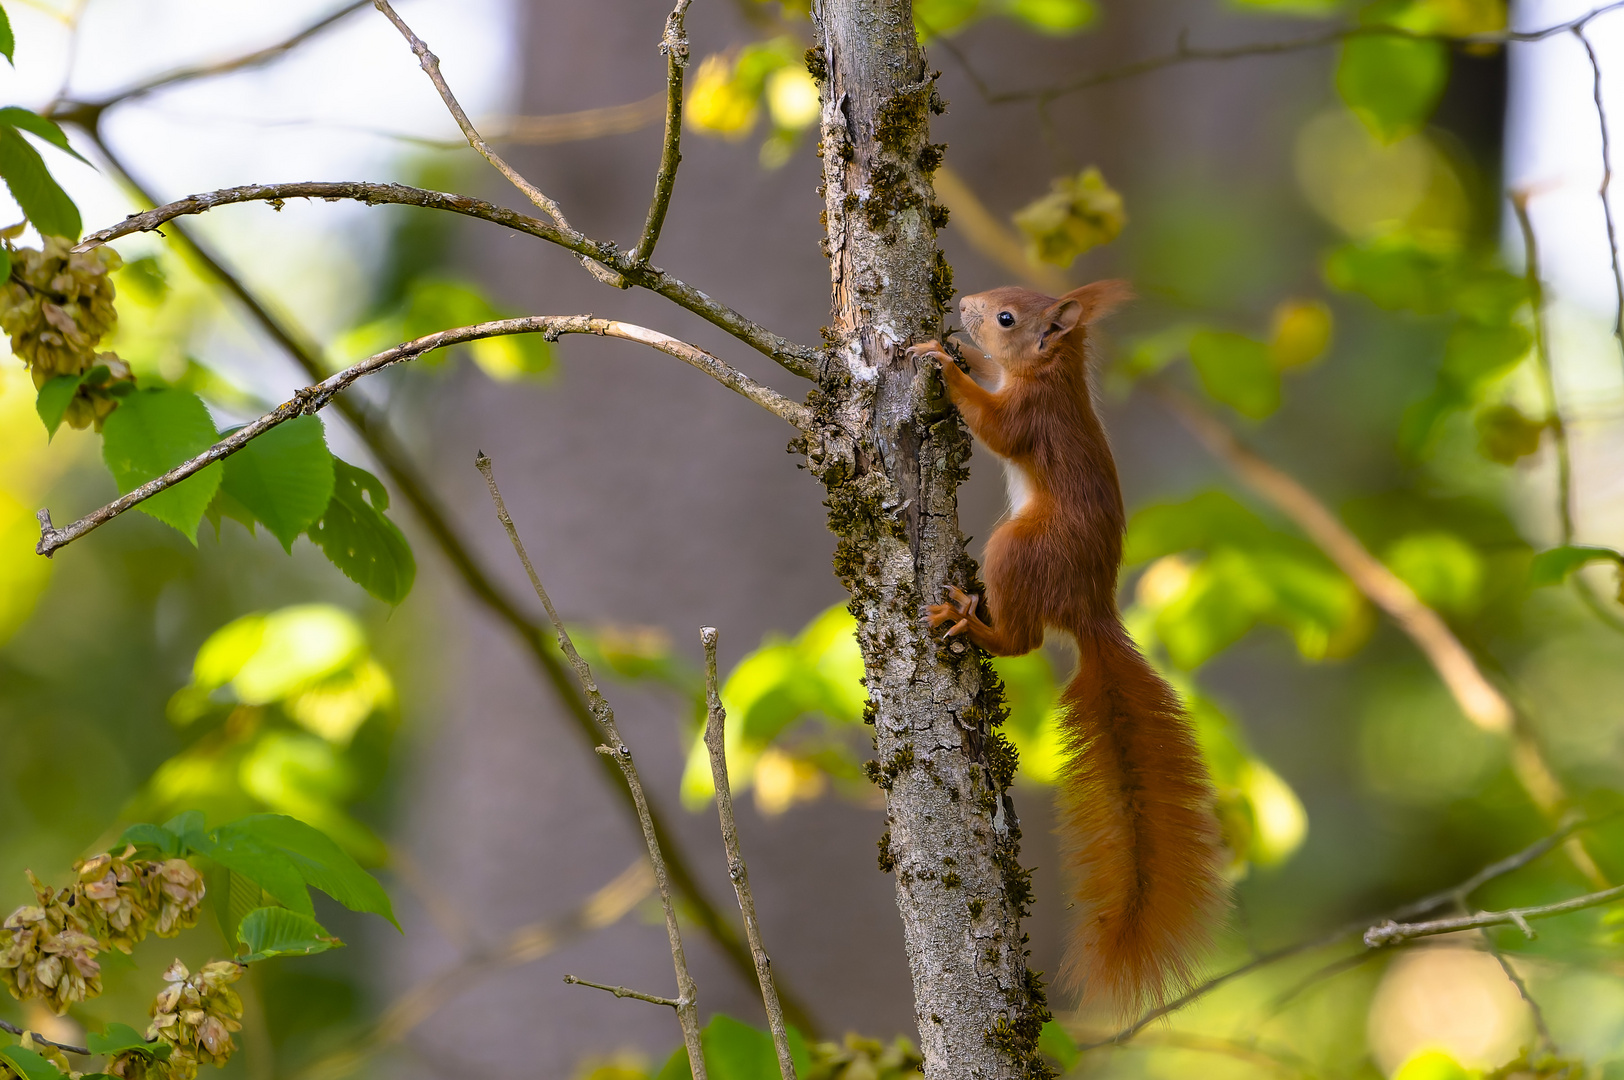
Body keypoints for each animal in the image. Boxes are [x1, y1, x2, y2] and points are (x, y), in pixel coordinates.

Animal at [909, 282, 1221, 1013]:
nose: (964, 304)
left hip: (1017, 550)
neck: (1051, 375)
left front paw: (943, 363)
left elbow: (994, 426)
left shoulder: (1031, 416)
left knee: (1022, 641)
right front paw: (957, 352)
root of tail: (1091, 609)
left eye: (1005, 318)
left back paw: (969, 622)